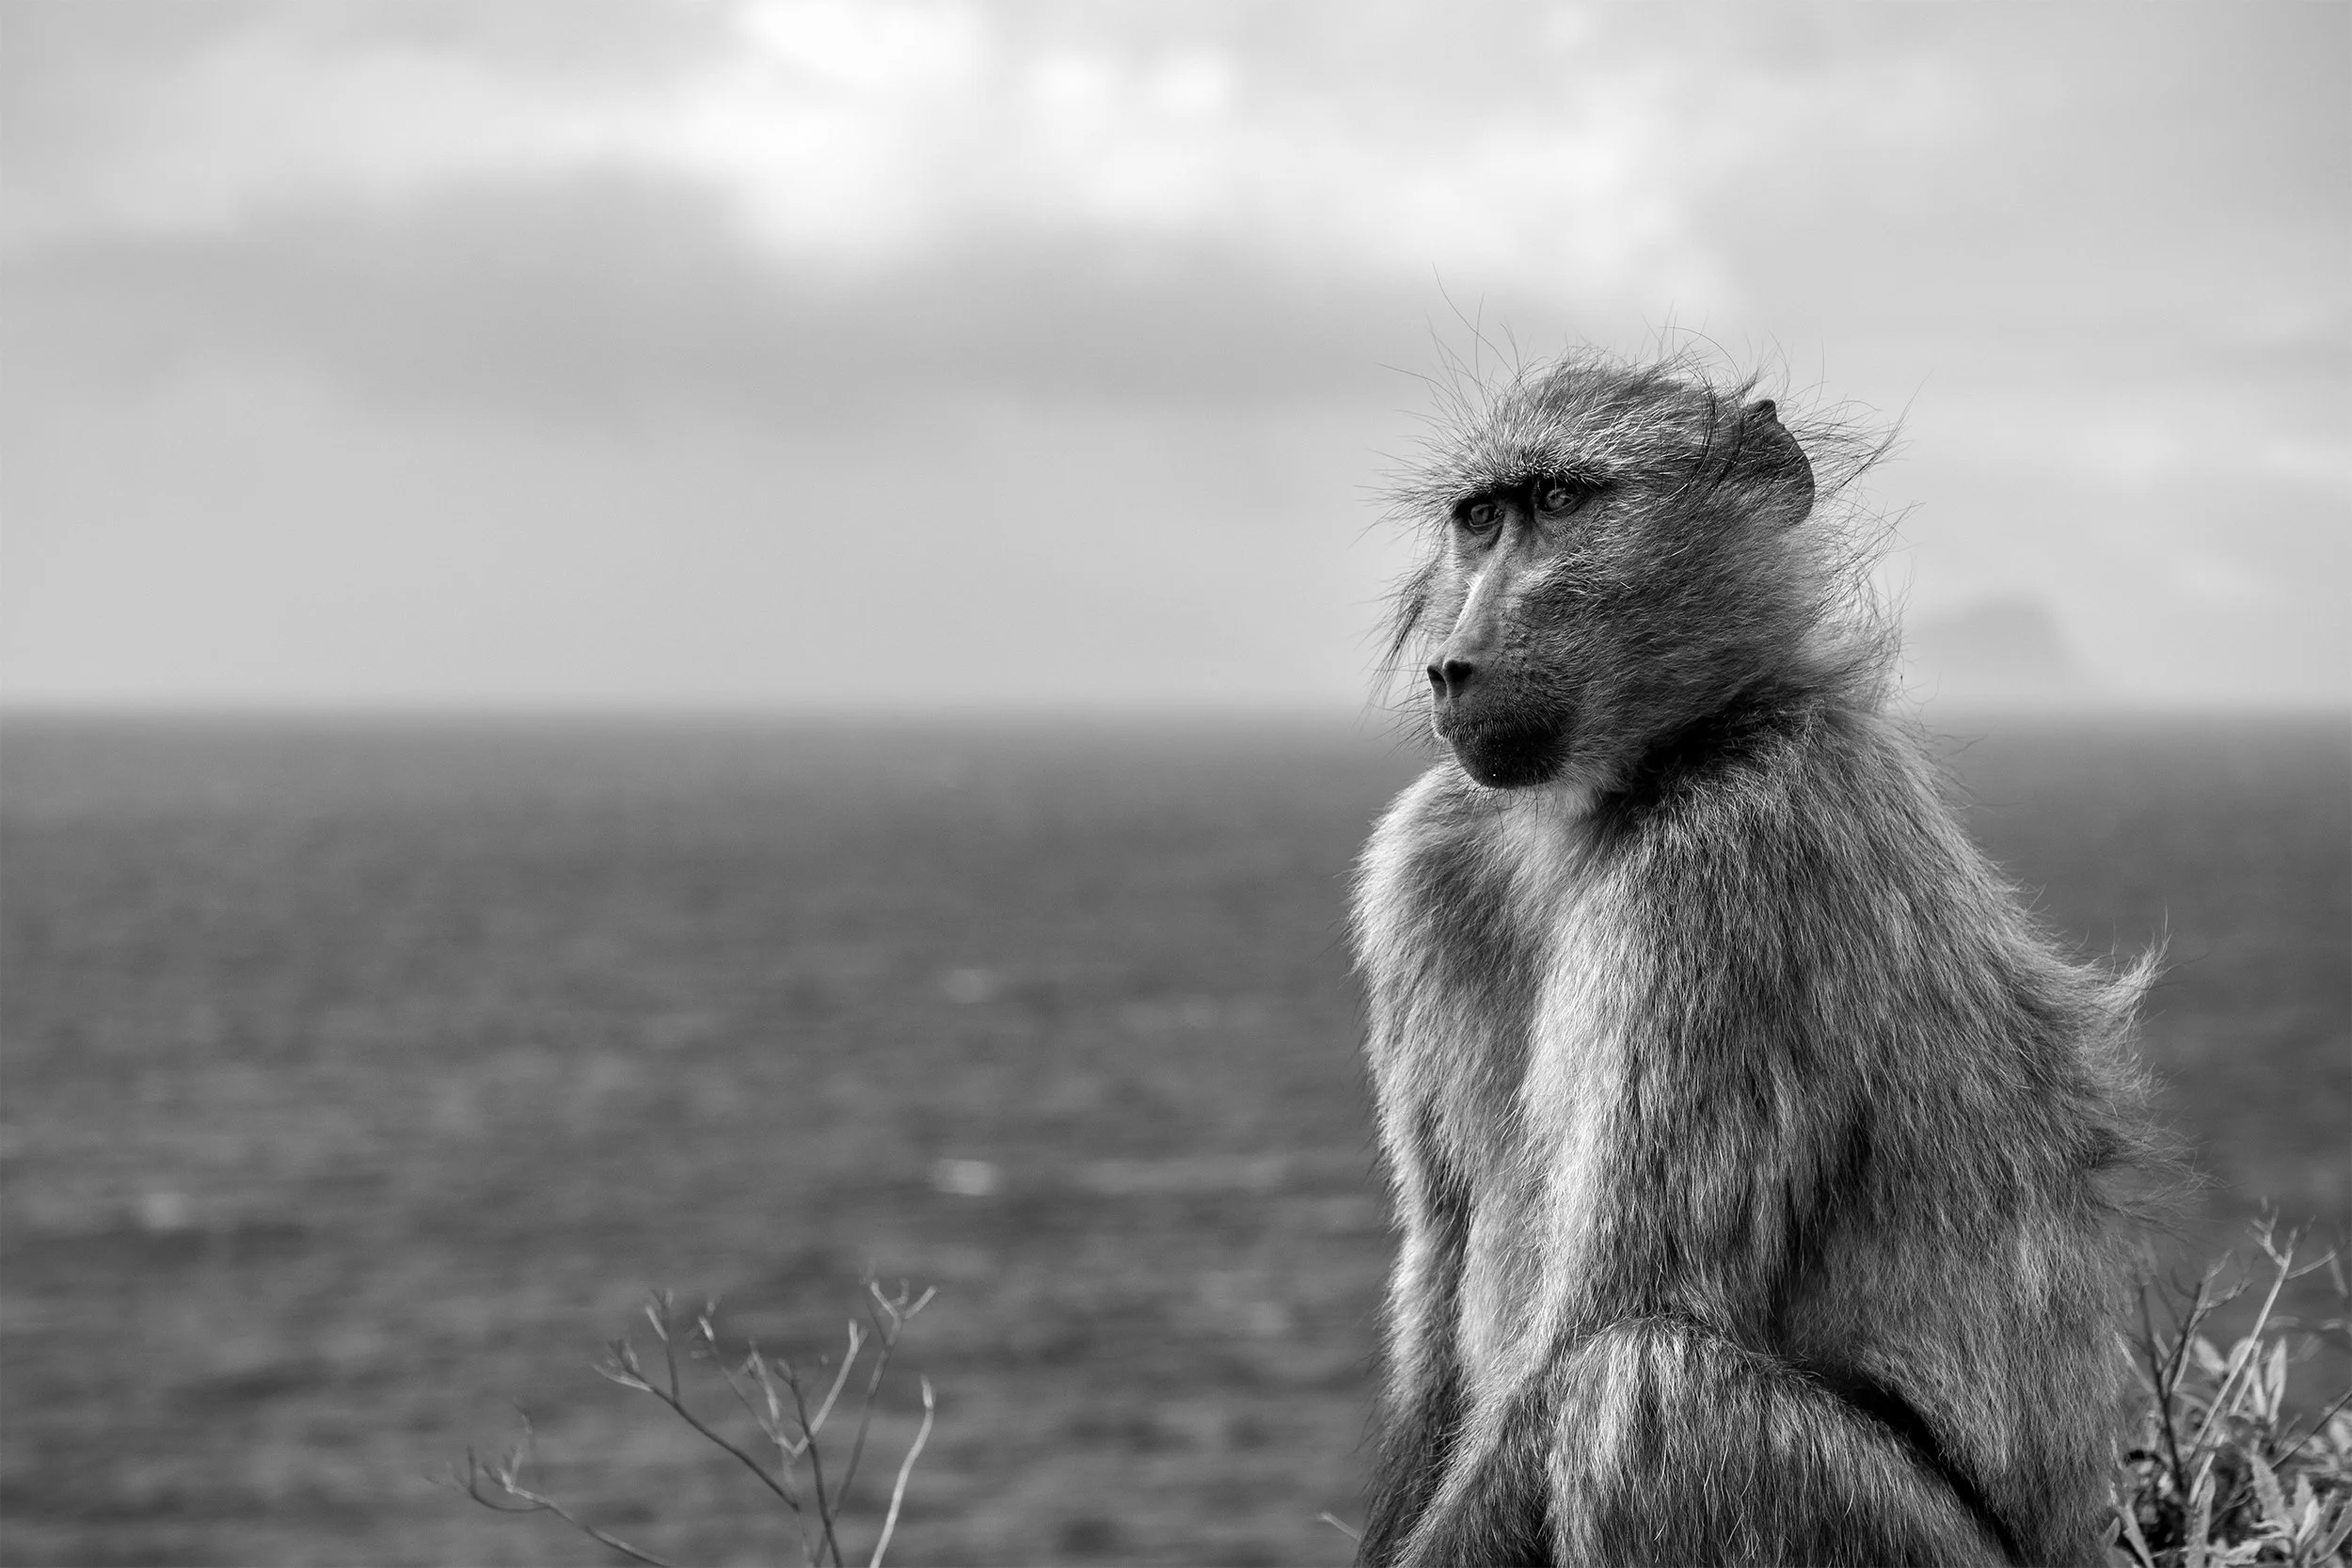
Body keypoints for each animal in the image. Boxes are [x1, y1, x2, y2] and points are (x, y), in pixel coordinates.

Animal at [1349, 349, 2163, 1567]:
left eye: (1559, 502)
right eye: (1479, 518)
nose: (1455, 664)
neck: (1608, 799)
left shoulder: (1723, 865)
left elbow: (1611, 1304)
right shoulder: (1423, 860)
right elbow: (1440, 1286)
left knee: (1636, 1389)